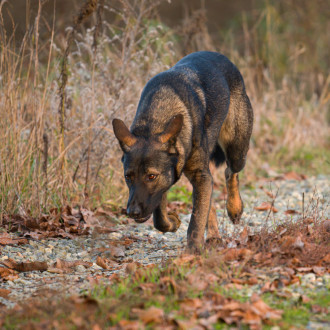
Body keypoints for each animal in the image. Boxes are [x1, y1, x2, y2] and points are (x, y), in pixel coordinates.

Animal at [112, 51, 254, 251]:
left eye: (151, 176)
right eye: (127, 177)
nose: (132, 212)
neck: (155, 121)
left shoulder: (199, 175)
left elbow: (196, 220)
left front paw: (193, 250)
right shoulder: (169, 181)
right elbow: (160, 219)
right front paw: (173, 222)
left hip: (237, 150)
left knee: (230, 172)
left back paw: (234, 208)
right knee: (212, 198)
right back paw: (213, 236)